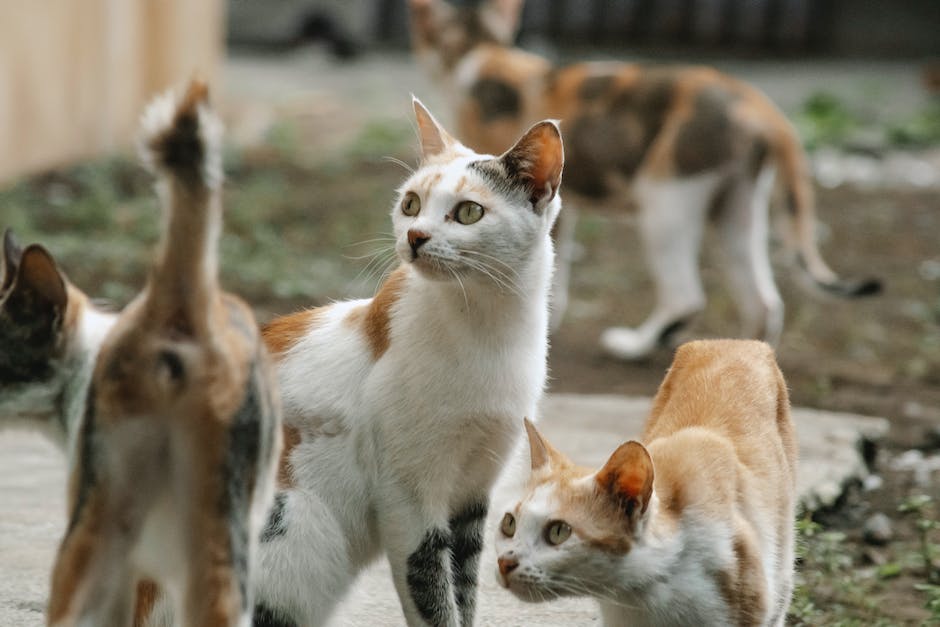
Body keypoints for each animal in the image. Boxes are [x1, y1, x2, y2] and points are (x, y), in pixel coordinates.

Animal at [246, 100, 560, 624]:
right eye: (411, 203)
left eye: (469, 212)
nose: (415, 236)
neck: (486, 329)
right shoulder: (408, 500)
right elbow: (431, 591)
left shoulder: (472, 492)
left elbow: (464, 587)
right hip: (295, 532)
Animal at [412, 0, 880, 360]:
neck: (481, 51)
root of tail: (755, 101)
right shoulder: (561, 205)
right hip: (738, 211)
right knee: (764, 302)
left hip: (665, 204)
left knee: (686, 295)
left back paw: (634, 345)